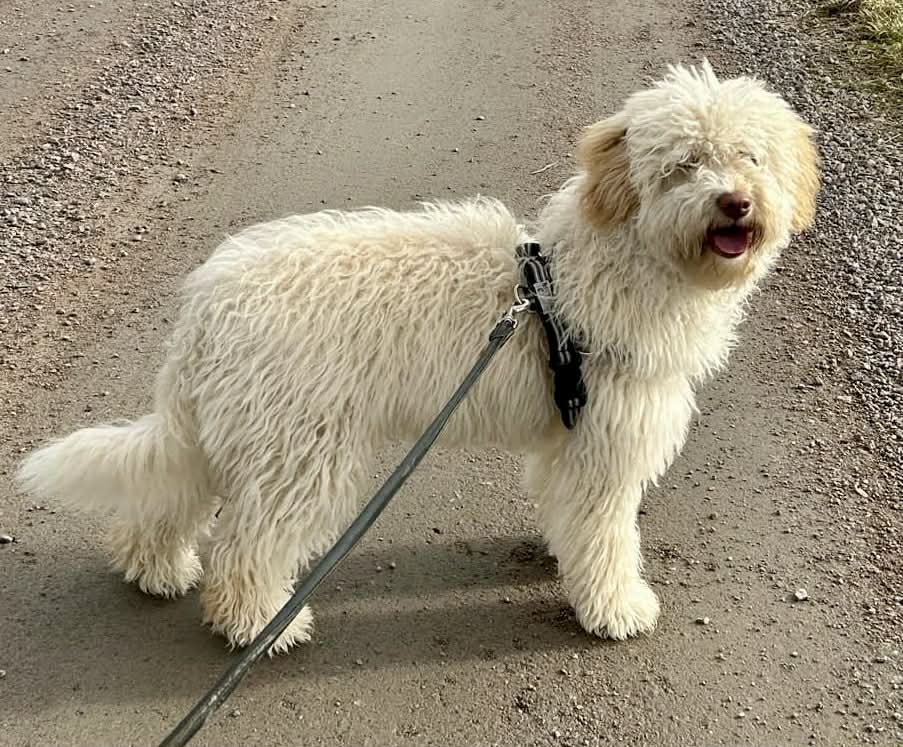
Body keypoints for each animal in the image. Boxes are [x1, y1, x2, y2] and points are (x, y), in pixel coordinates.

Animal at [17, 62, 819, 653]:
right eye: (684, 164)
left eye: (749, 156)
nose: (735, 202)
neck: (599, 267)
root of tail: (205, 302)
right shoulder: (605, 439)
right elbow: (605, 535)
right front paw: (616, 608)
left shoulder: (568, 436)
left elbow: (567, 512)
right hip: (301, 448)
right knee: (248, 546)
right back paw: (259, 625)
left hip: (238, 428)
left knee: (171, 498)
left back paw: (156, 570)